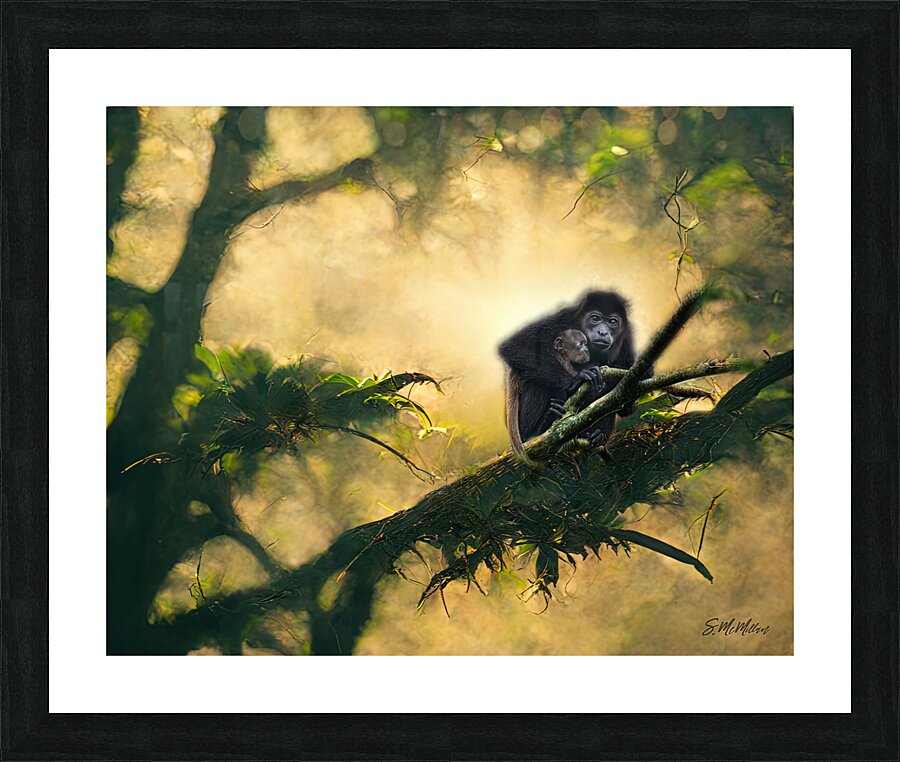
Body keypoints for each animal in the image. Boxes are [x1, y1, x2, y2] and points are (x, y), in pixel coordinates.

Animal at [505, 328, 591, 459]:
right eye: (581, 344)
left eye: (585, 344)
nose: (587, 350)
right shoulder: (560, 359)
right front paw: (575, 382)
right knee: (538, 385)